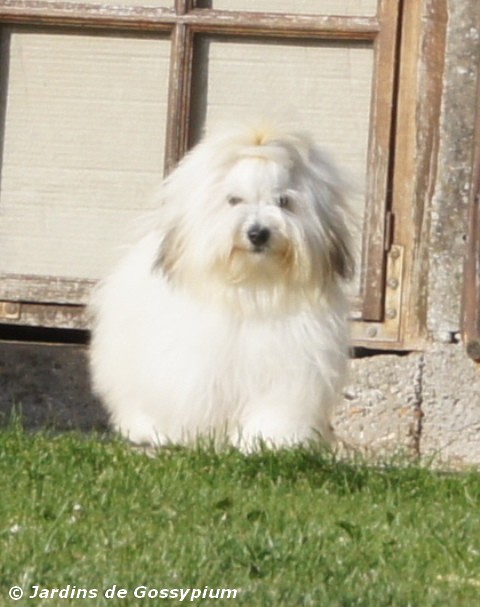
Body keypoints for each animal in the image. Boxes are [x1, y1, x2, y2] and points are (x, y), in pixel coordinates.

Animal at [89, 121, 352, 448]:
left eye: (283, 201)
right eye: (233, 200)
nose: (258, 233)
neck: (253, 290)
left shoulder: (291, 371)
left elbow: (276, 409)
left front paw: (269, 440)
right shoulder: (201, 371)